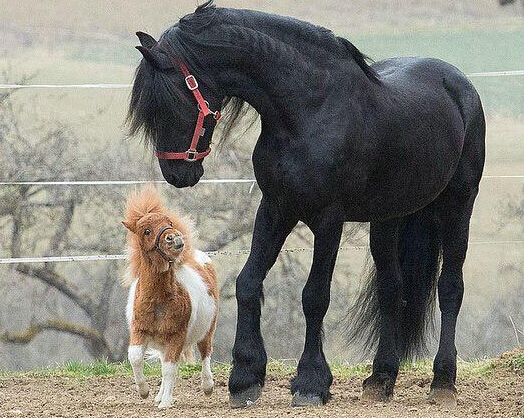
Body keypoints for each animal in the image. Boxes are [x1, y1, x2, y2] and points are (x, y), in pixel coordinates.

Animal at [122, 187, 218, 408]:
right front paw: (144, 392)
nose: (175, 238)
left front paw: (165, 403)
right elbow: (135, 358)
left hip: (207, 329)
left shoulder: (176, 336)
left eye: (169, 222)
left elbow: (169, 369)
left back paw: (207, 386)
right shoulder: (139, 331)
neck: (158, 300)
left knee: (205, 352)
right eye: (146, 230)